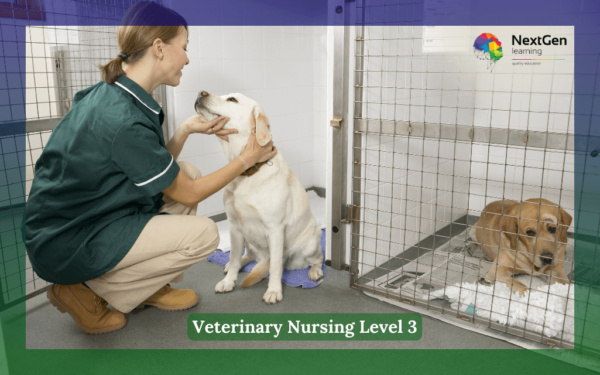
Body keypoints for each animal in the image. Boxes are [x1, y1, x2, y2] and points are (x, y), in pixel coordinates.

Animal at [195, 91, 324, 306]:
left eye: (232, 99)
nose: (201, 93)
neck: (248, 171)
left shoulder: (275, 229)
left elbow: (275, 268)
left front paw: (273, 291)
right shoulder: (234, 226)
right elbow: (235, 257)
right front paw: (228, 281)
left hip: (310, 244)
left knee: (317, 259)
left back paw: (315, 272)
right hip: (247, 240)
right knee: (246, 256)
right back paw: (232, 265)